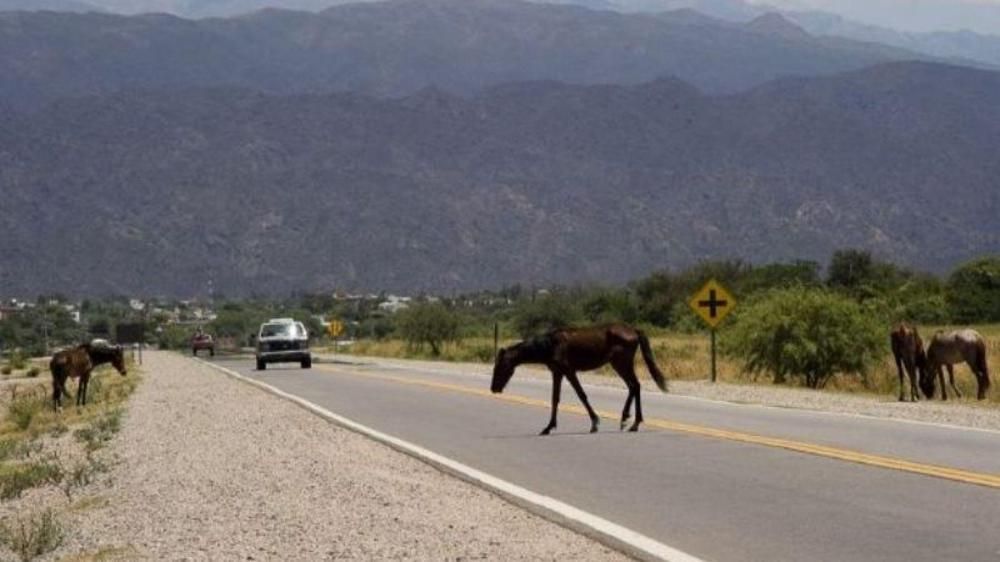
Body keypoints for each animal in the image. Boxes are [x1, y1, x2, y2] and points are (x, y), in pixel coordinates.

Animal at [491, 323, 668, 435]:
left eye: (500, 366)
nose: (494, 388)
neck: (549, 345)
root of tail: (634, 330)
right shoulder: (557, 372)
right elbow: (555, 399)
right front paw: (548, 427)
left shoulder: (569, 371)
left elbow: (581, 395)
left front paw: (595, 423)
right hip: (619, 364)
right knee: (634, 386)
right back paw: (627, 420)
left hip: (621, 363)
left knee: (635, 385)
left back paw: (633, 422)